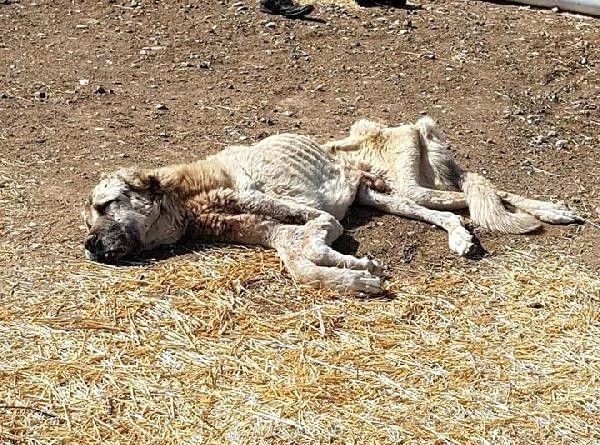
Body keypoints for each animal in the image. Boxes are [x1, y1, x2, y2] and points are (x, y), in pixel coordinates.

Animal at [82, 116, 580, 294]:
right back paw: (460, 238)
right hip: (389, 198)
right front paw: (357, 275)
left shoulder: (312, 216)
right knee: (448, 214)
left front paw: (358, 268)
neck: (191, 197)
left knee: (488, 192)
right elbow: (301, 266)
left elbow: (316, 244)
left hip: (414, 185)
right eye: (88, 219)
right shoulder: (280, 235)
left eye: (106, 205)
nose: (88, 247)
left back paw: (554, 211)